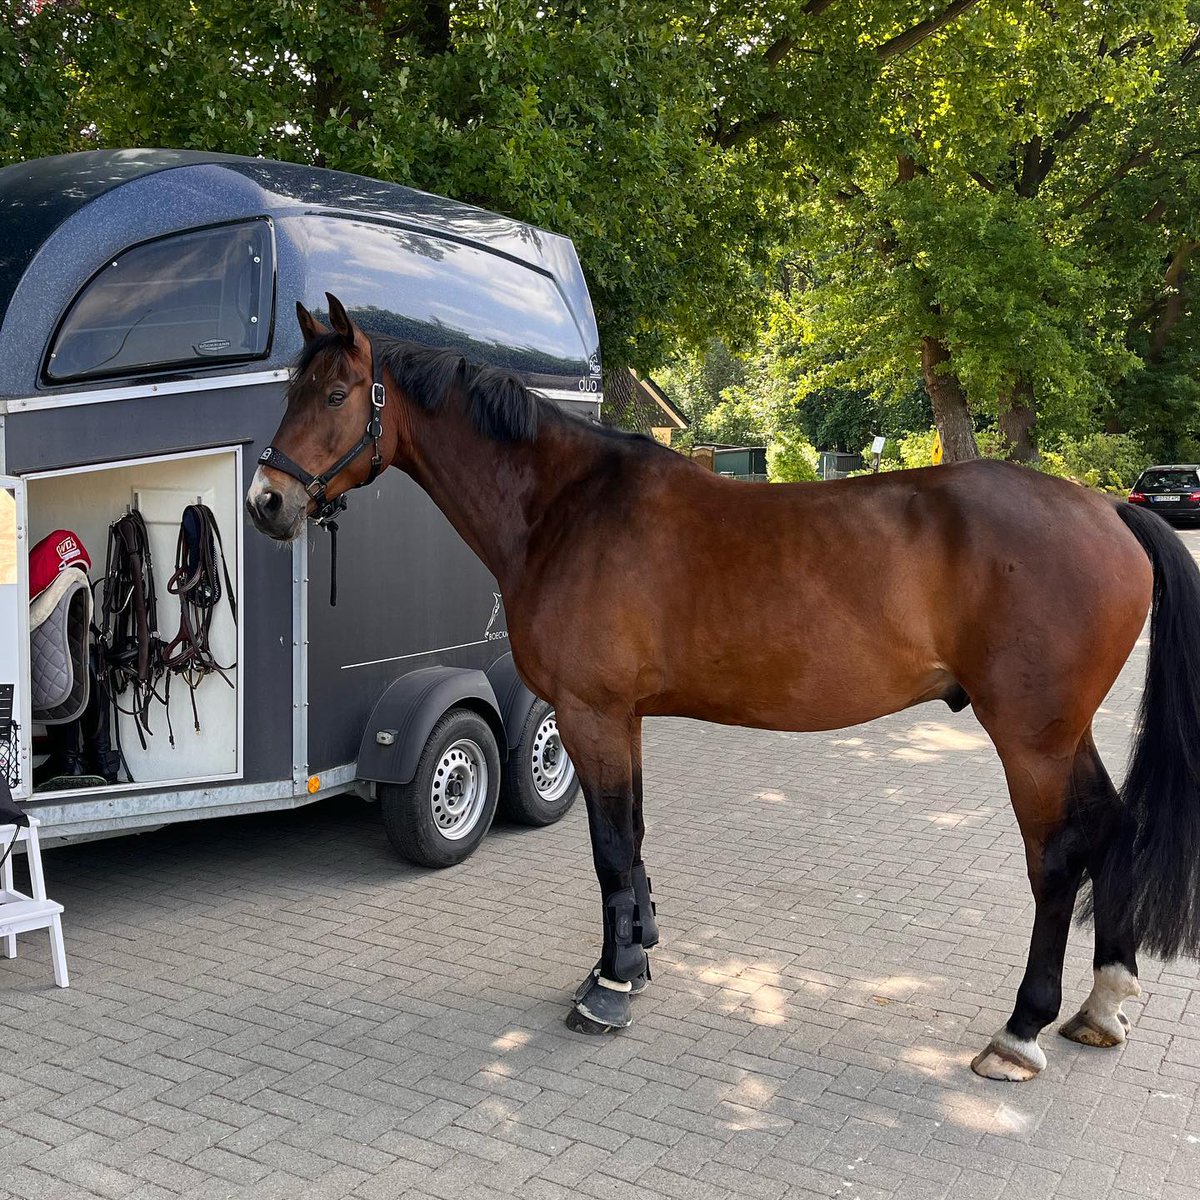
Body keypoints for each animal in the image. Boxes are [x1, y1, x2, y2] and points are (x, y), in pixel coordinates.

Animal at [247, 293, 1200, 1082]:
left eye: (336, 395)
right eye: (291, 391)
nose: (265, 502)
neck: (566, 507)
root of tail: (1106, 510)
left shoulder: (592, 714)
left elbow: (608, 847)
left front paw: (609, 990)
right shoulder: (622, 719)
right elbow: (629, 840)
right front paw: (628, 962)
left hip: (1029, 736)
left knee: (1057, 858)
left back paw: (1021, 1030)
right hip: (1062, 731)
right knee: (1109, 827)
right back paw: (1104, 1003)